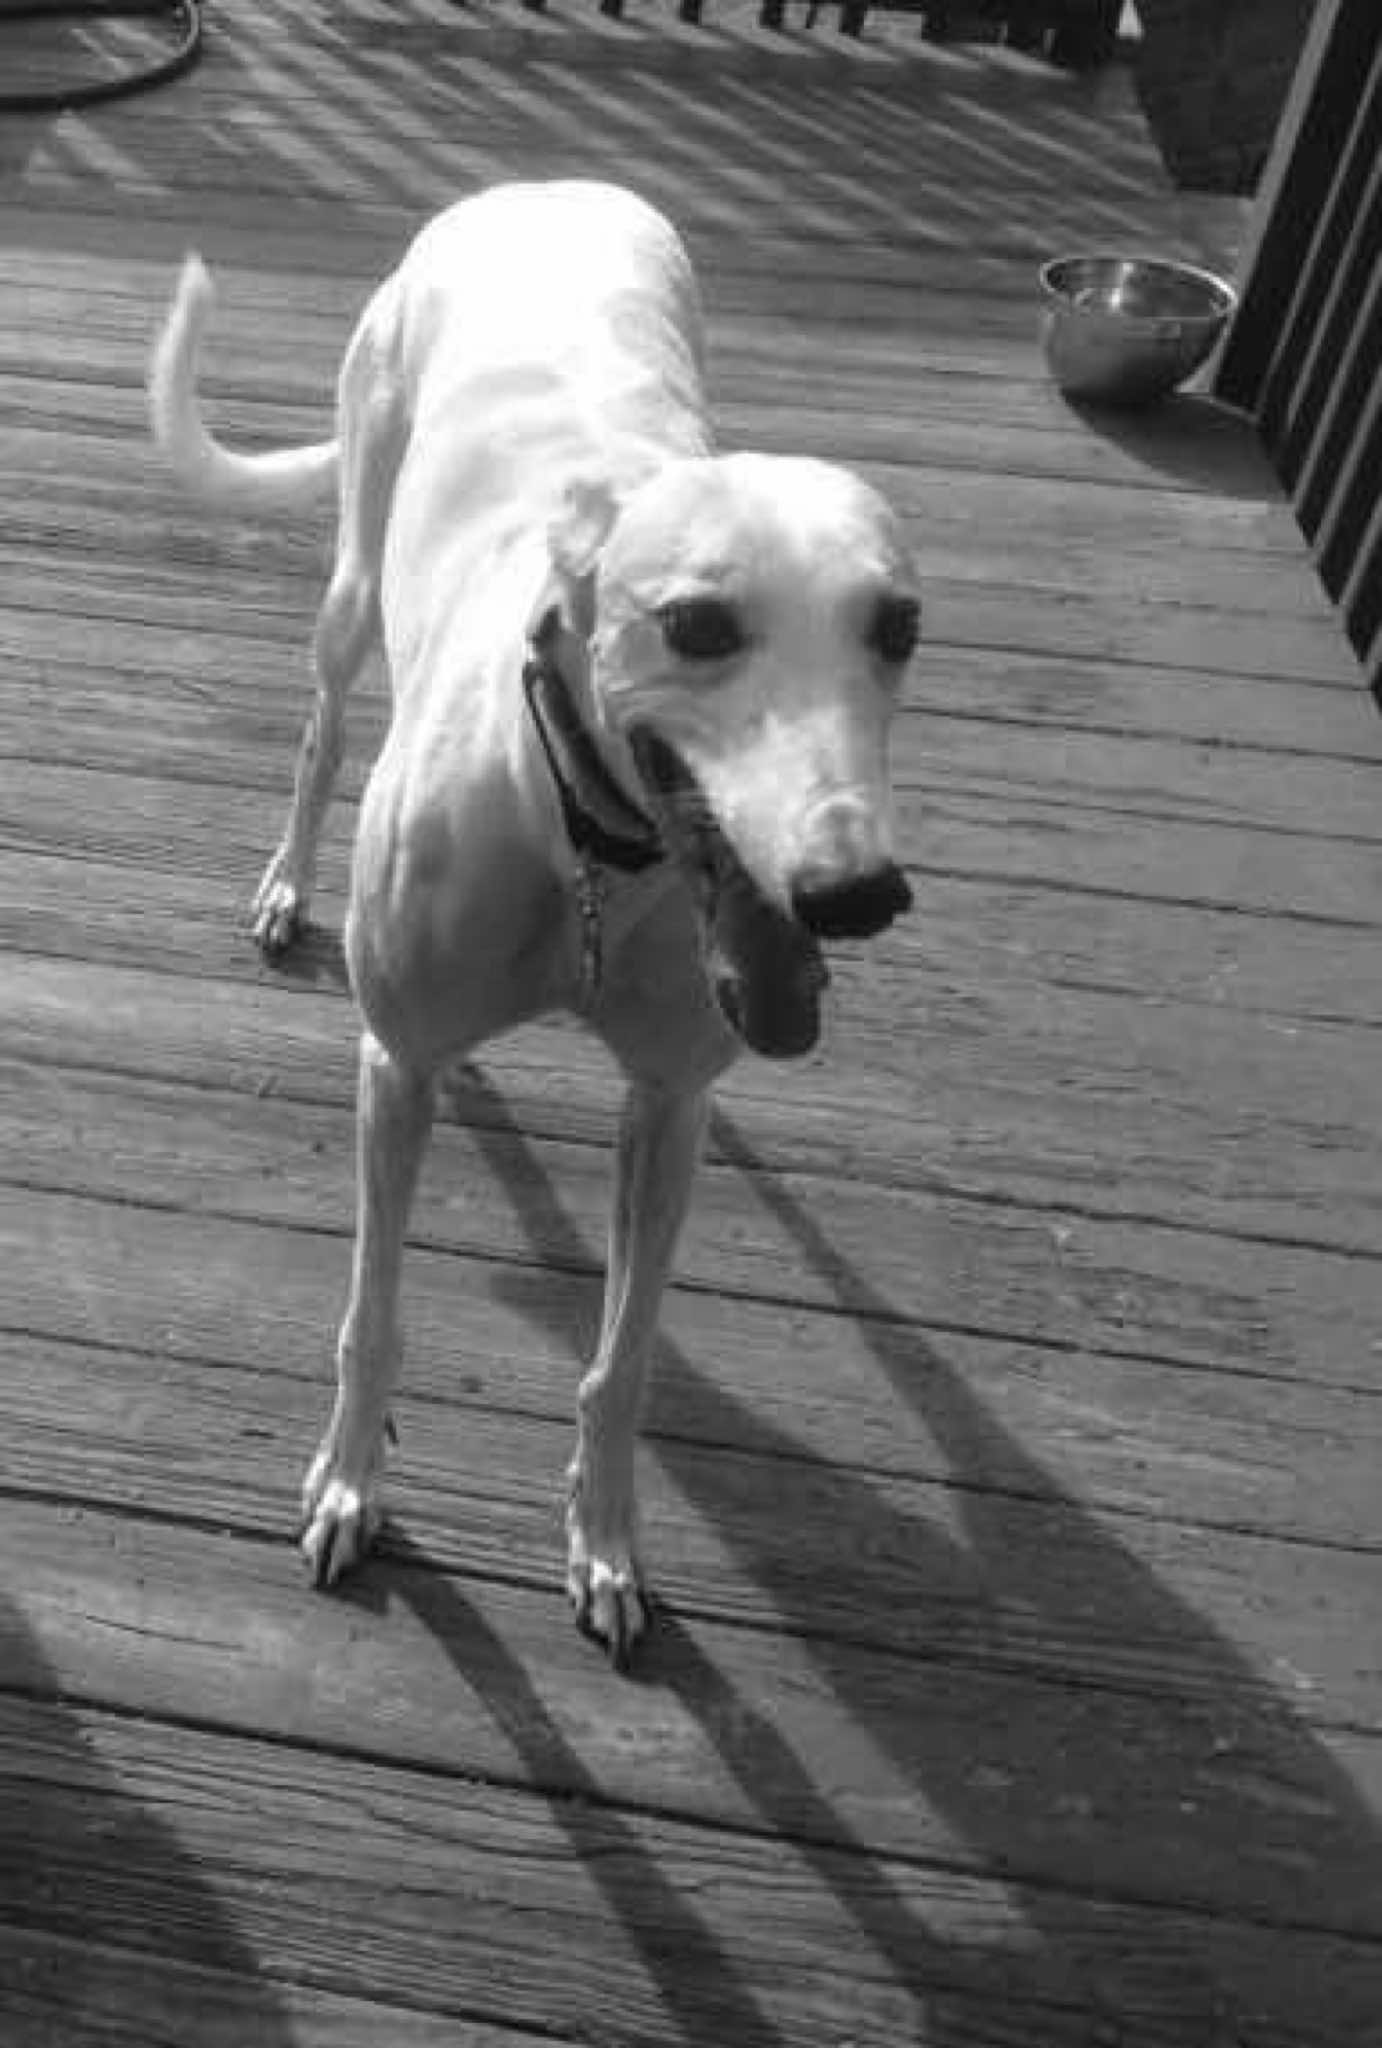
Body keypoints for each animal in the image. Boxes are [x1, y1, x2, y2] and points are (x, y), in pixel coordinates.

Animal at [149, 180, 919, 1664]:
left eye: (897, 626)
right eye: (697, 625)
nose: (855, 893)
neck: (586, 846)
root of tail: (545, 186)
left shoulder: (666, 1109)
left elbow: (620, 1363)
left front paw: (605, 1545)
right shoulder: (395, 1066)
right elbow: (373, 1317)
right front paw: (349, 1485)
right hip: (351, 584)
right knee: (324, 724)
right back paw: (283, 882)